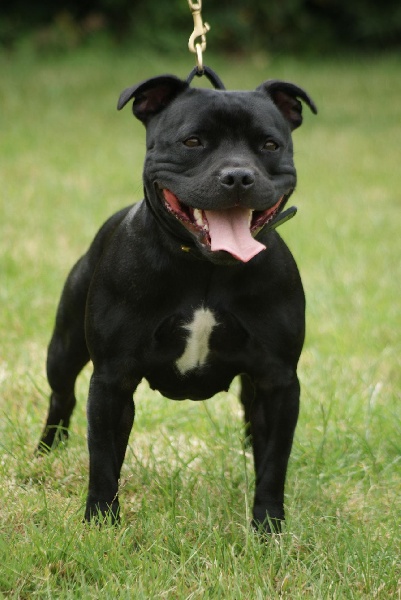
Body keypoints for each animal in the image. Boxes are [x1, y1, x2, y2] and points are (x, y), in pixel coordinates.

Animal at [38, 72, 317, 533]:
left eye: (269, 145)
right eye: (192, 142)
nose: (238, 176)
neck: (206, 269)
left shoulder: (278, 381)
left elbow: (274, 463)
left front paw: (268, 527)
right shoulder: (113, 380)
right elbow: (104, 460)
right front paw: (100, 523)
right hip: (63, 348)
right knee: (62, 396)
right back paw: (46, 451)